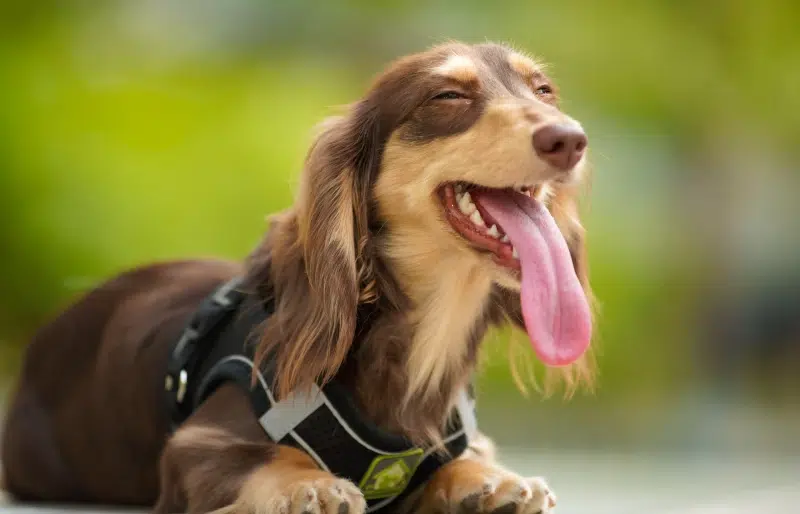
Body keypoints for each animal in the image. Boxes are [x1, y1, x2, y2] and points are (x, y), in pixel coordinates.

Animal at [1, 42, 592, 512]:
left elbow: (458, 457)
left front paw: (489, 480)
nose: (570, 139)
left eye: (544, 91)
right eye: (447, 96)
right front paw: (308, 485)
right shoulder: (198, 444)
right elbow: (267, 456)